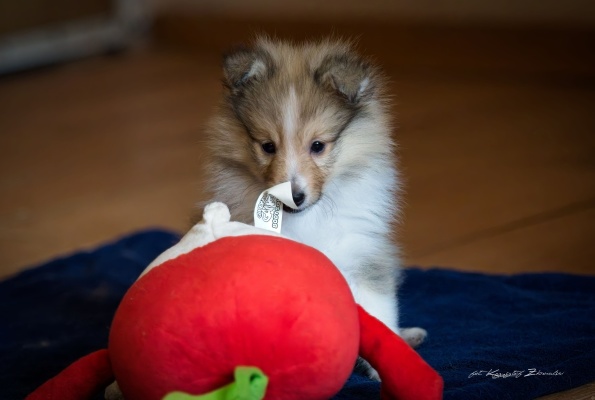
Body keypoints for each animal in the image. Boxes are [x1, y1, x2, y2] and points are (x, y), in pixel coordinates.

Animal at [202, 36, 427, 379]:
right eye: (268, 146)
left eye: (318, 146)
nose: (293, 197)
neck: (307, 222)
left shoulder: (363, 254)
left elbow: (379, 312)